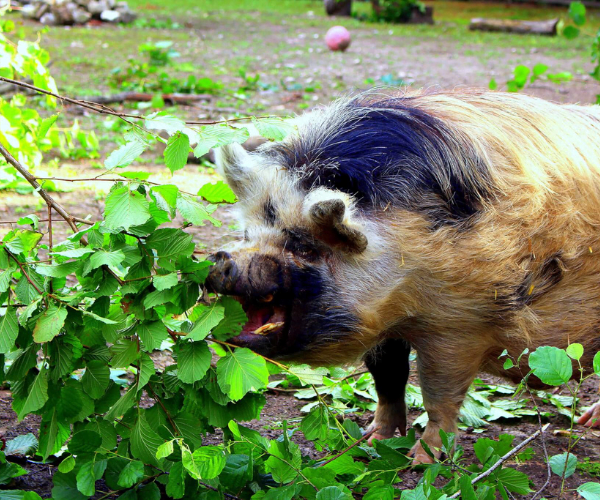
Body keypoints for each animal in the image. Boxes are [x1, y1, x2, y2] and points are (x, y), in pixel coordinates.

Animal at [206, 90, 600, 464]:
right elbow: (387, 377)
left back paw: (587, 424)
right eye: (247, 234)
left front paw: (421, 462)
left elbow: (439, 393)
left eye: (304, 247)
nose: (222, 260)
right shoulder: (387, 323)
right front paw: (371, 442)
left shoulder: (459, 325)